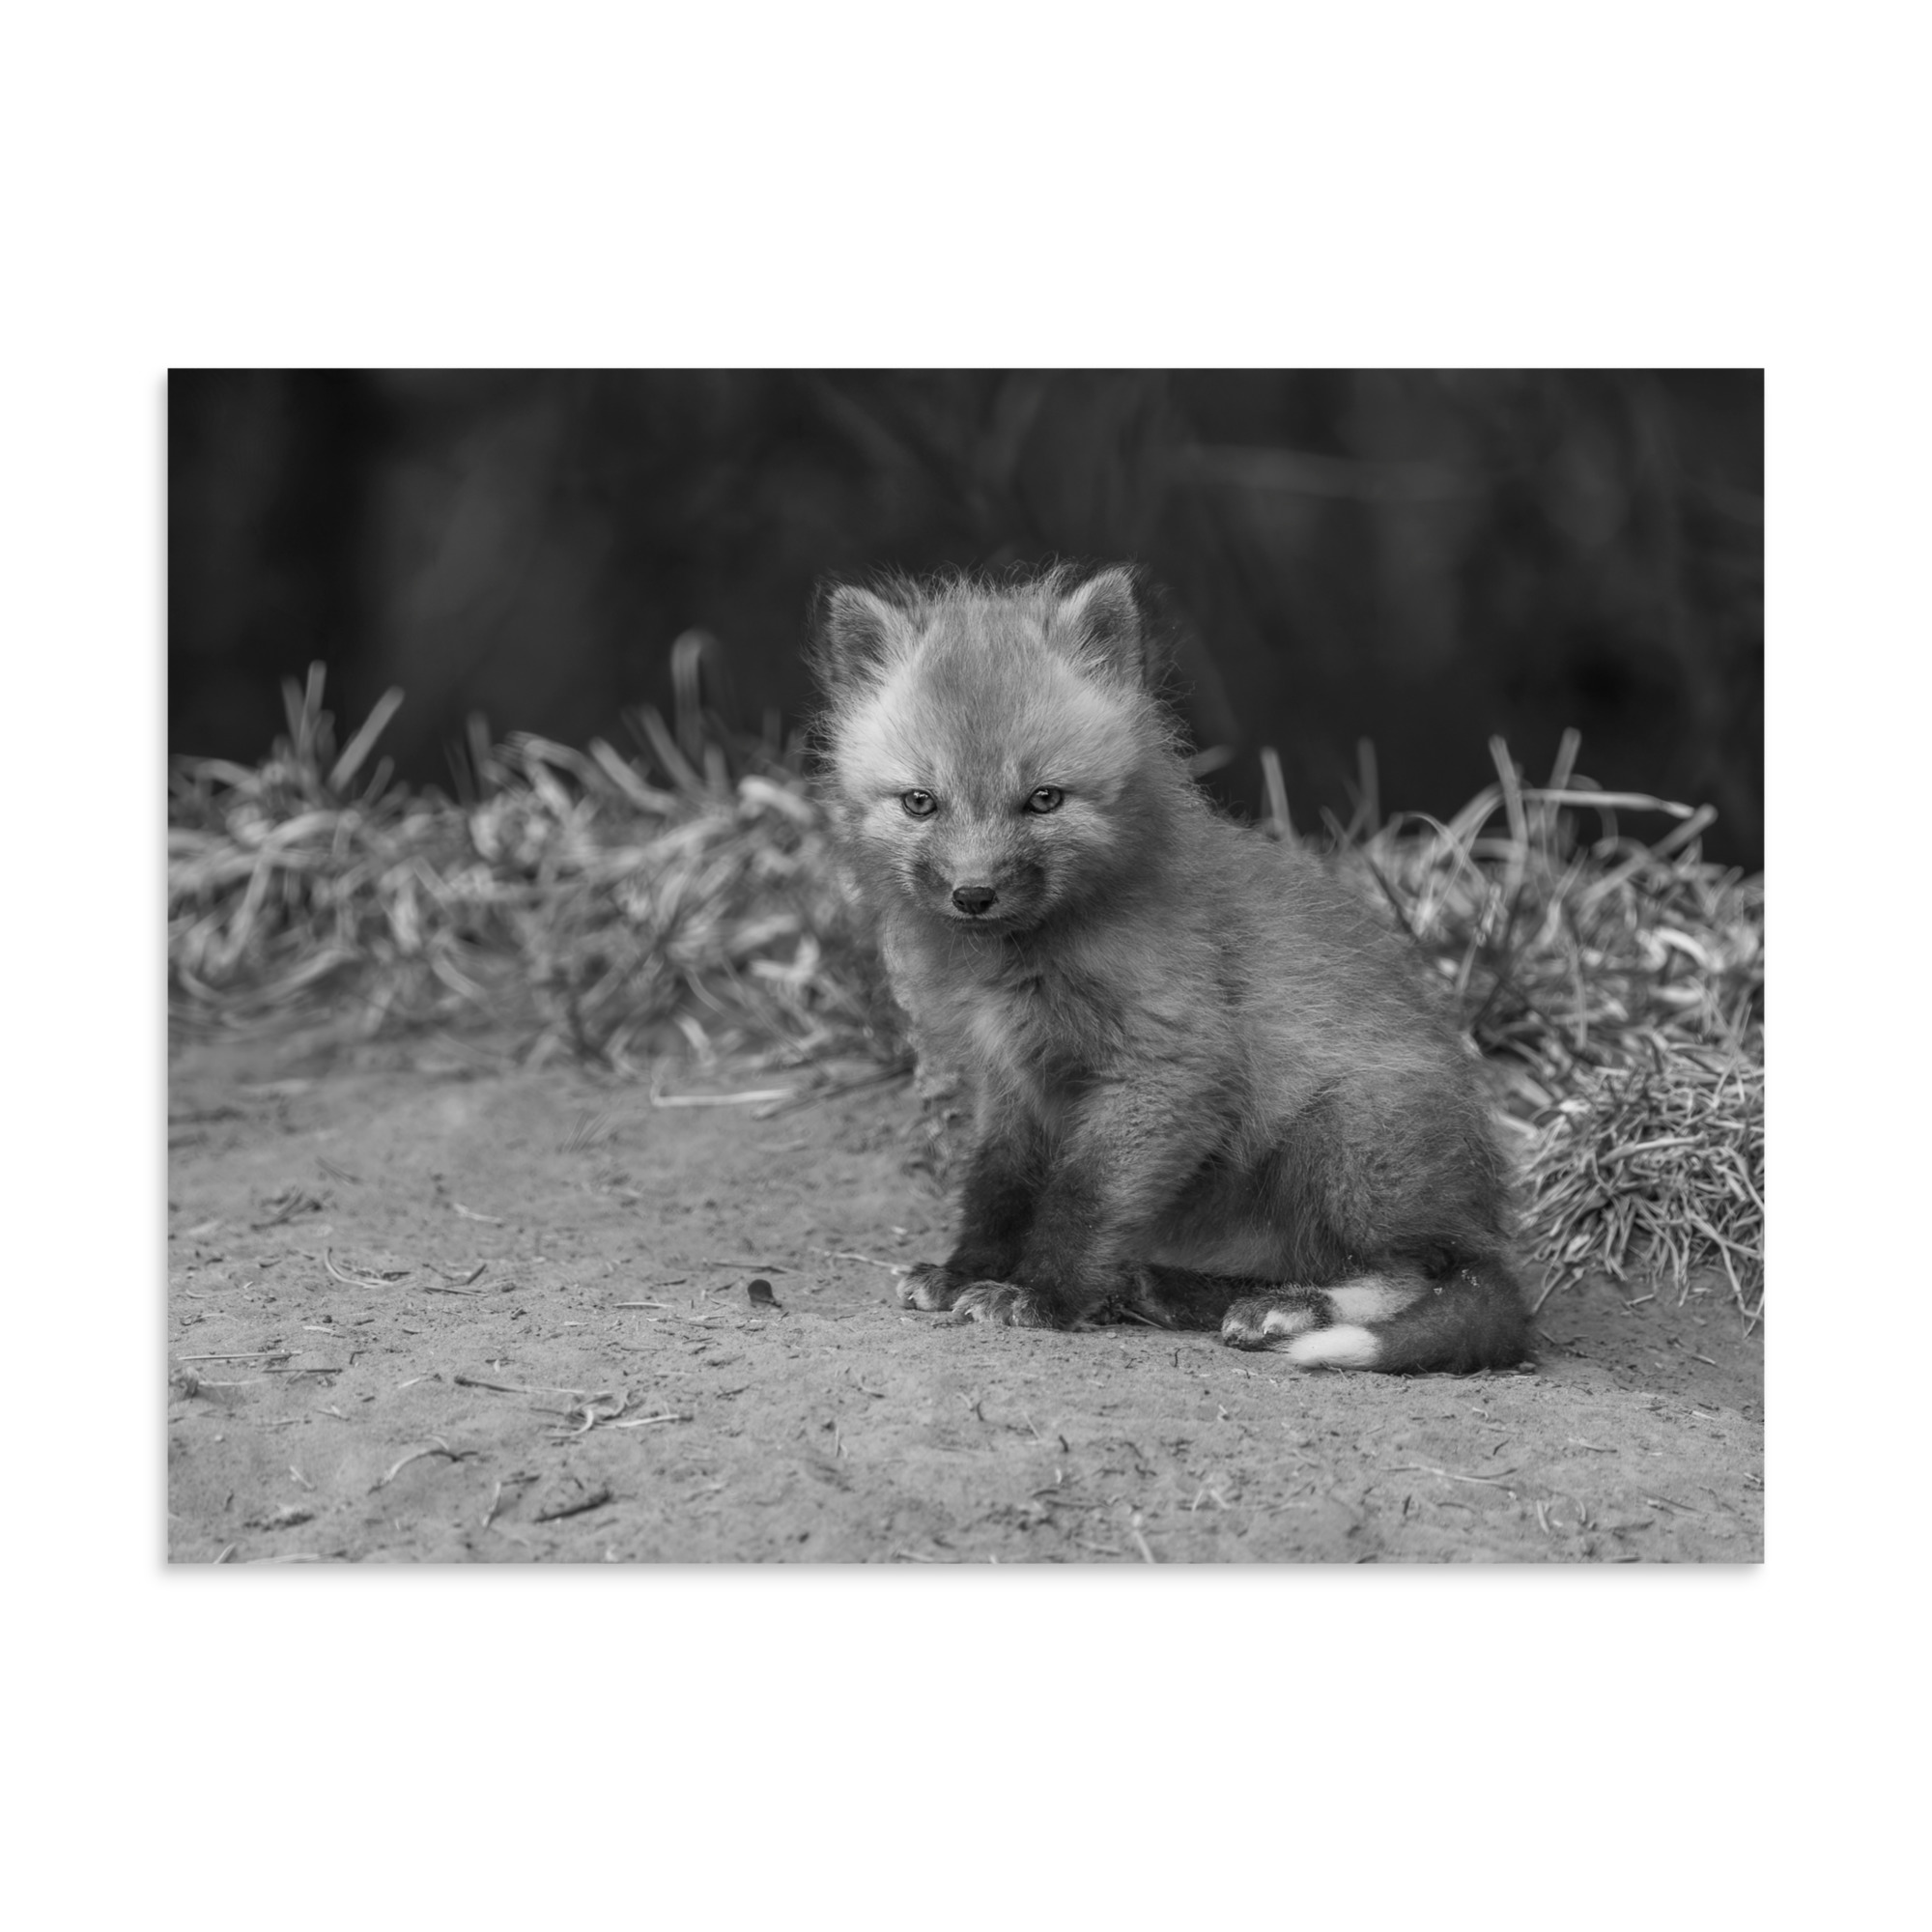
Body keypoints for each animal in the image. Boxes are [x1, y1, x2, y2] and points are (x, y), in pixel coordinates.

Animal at [808, 563, 1531, 1373]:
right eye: (920, 802)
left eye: (1044, 799)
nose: (973, 894)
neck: (1025, 964)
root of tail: (1483, 1213)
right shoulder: (1013, 1082)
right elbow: (998, 1188)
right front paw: (967, 1271)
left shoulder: (1167, 1069)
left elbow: (1083, 1198)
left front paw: (1041, 1296)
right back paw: (1172, 1289)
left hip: (1344, 1138)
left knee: (1423, 1273)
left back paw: (1287, 1310)